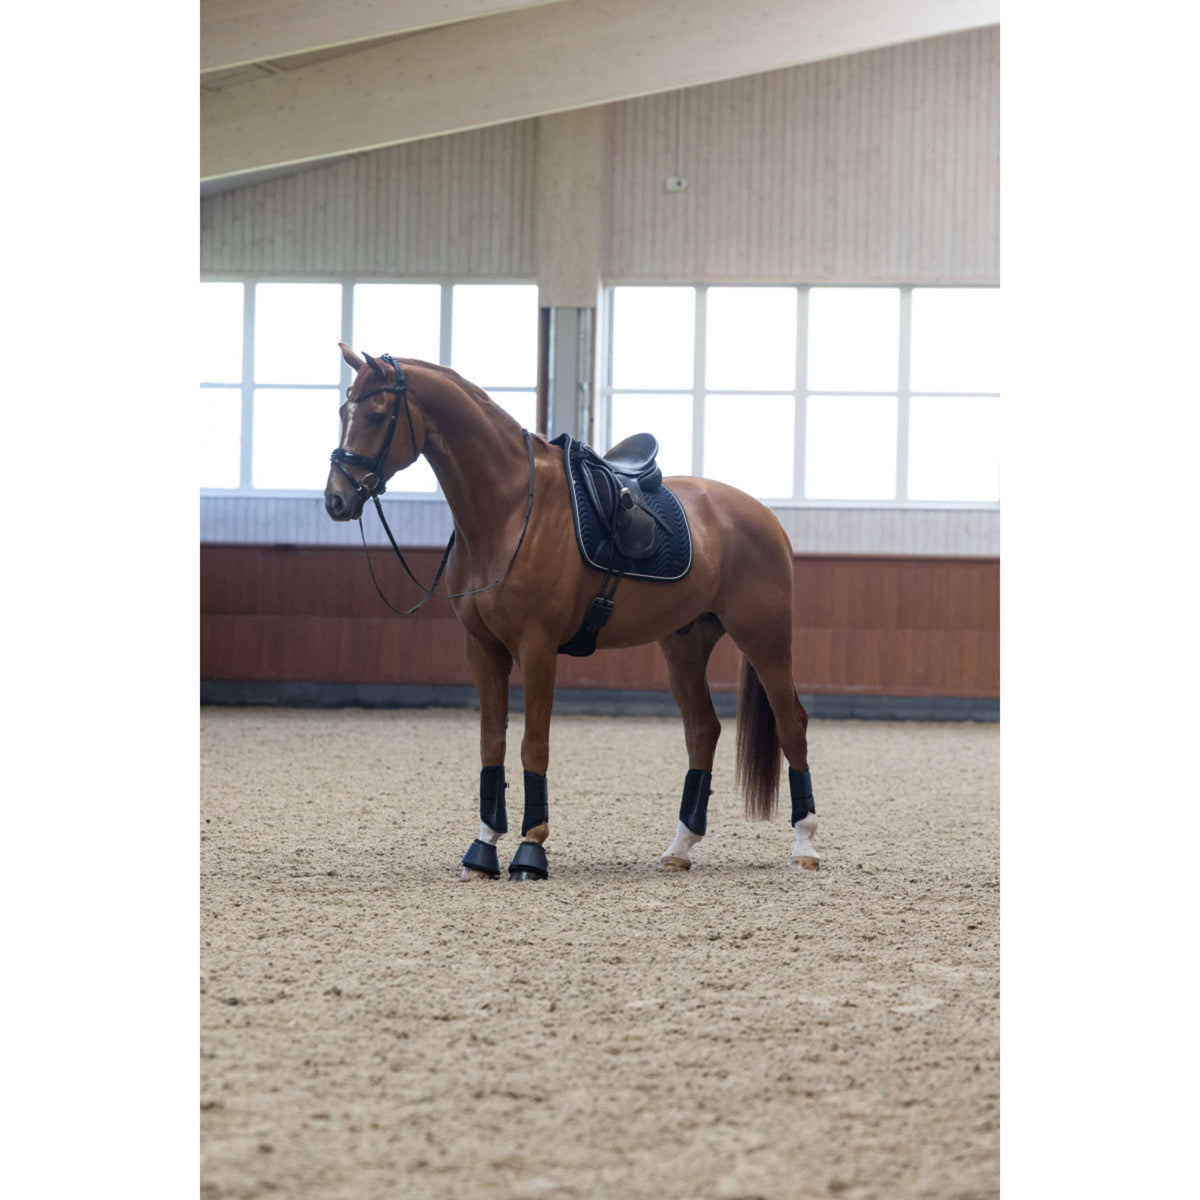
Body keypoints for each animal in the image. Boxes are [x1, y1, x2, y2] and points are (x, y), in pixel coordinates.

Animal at [323, 343, 819, 881]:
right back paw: (680, 847)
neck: (511, 510)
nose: (336, 499)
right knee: (703, 731)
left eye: (376, 415)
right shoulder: (483, 649)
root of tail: (763, 516)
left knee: (792, 723)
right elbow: (492, 744)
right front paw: (482, 849)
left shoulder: (537, 648)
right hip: (685, 645)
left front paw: (530, 850)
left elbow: (532, 745)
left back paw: (805, 845)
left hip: (764, 638)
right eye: (343, 411)